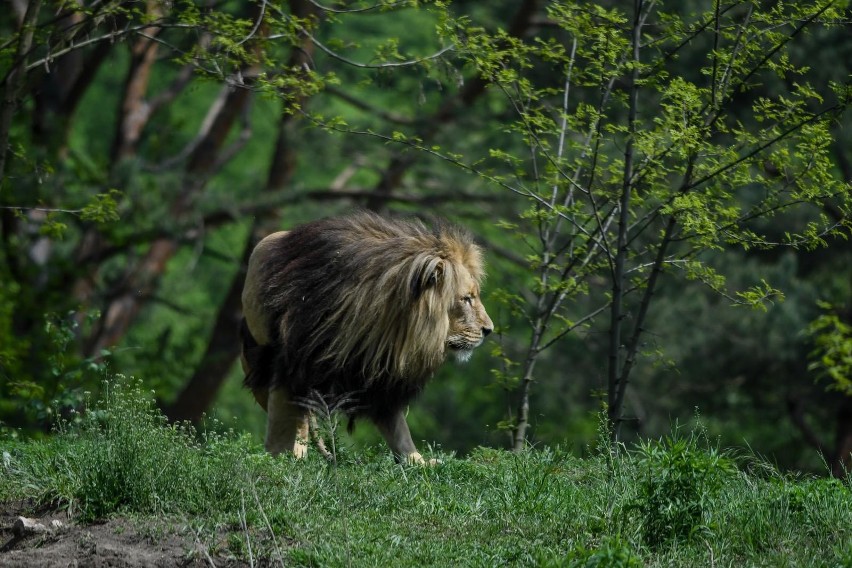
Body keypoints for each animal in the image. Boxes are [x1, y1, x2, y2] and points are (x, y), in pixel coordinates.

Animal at [240, 211, 492, 464]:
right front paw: (280, 460)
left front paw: (417, 462)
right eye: (467, 298)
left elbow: (399, 429)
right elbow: (282, 424)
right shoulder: (289, 363)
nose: (489, 330)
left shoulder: (382, 376)